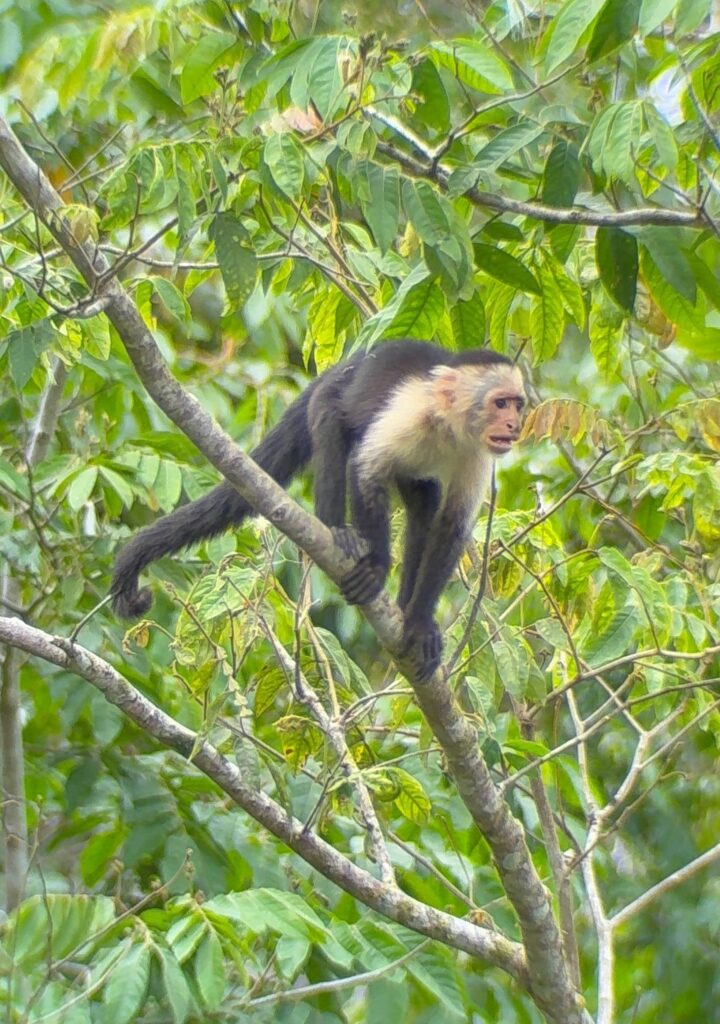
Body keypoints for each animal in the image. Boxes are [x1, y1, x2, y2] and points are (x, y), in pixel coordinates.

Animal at [111, 339, 525, 679]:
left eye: (518, 405)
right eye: (499, 403)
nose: (514, 425)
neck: (449, 426)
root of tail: (344, 365)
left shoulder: (477, 454)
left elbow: (452, 524)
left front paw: (421, 622)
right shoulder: (409, 413)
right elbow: (365, 470)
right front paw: (376, 567)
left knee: (424, 504)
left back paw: (405, 603)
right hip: (329, 394)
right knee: (333, 429)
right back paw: (334, 528)